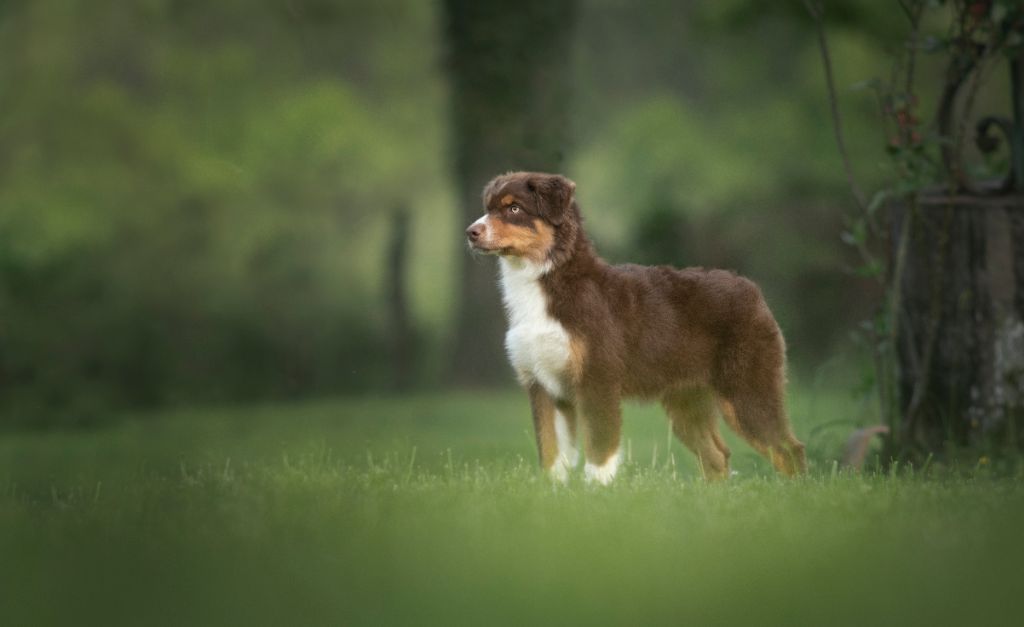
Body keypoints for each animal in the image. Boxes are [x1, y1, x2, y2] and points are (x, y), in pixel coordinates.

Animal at [466, 171, 806, 485]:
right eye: (488, 207)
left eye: (513, 208)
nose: (471, 232)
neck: (547, 280)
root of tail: (752, 289)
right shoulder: (544, 386)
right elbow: (552, 456)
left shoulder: (597, 380)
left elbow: (599, 452)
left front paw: (595, 496)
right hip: (688, 400)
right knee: (718, 457)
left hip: (747, 388)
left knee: (788, 449)